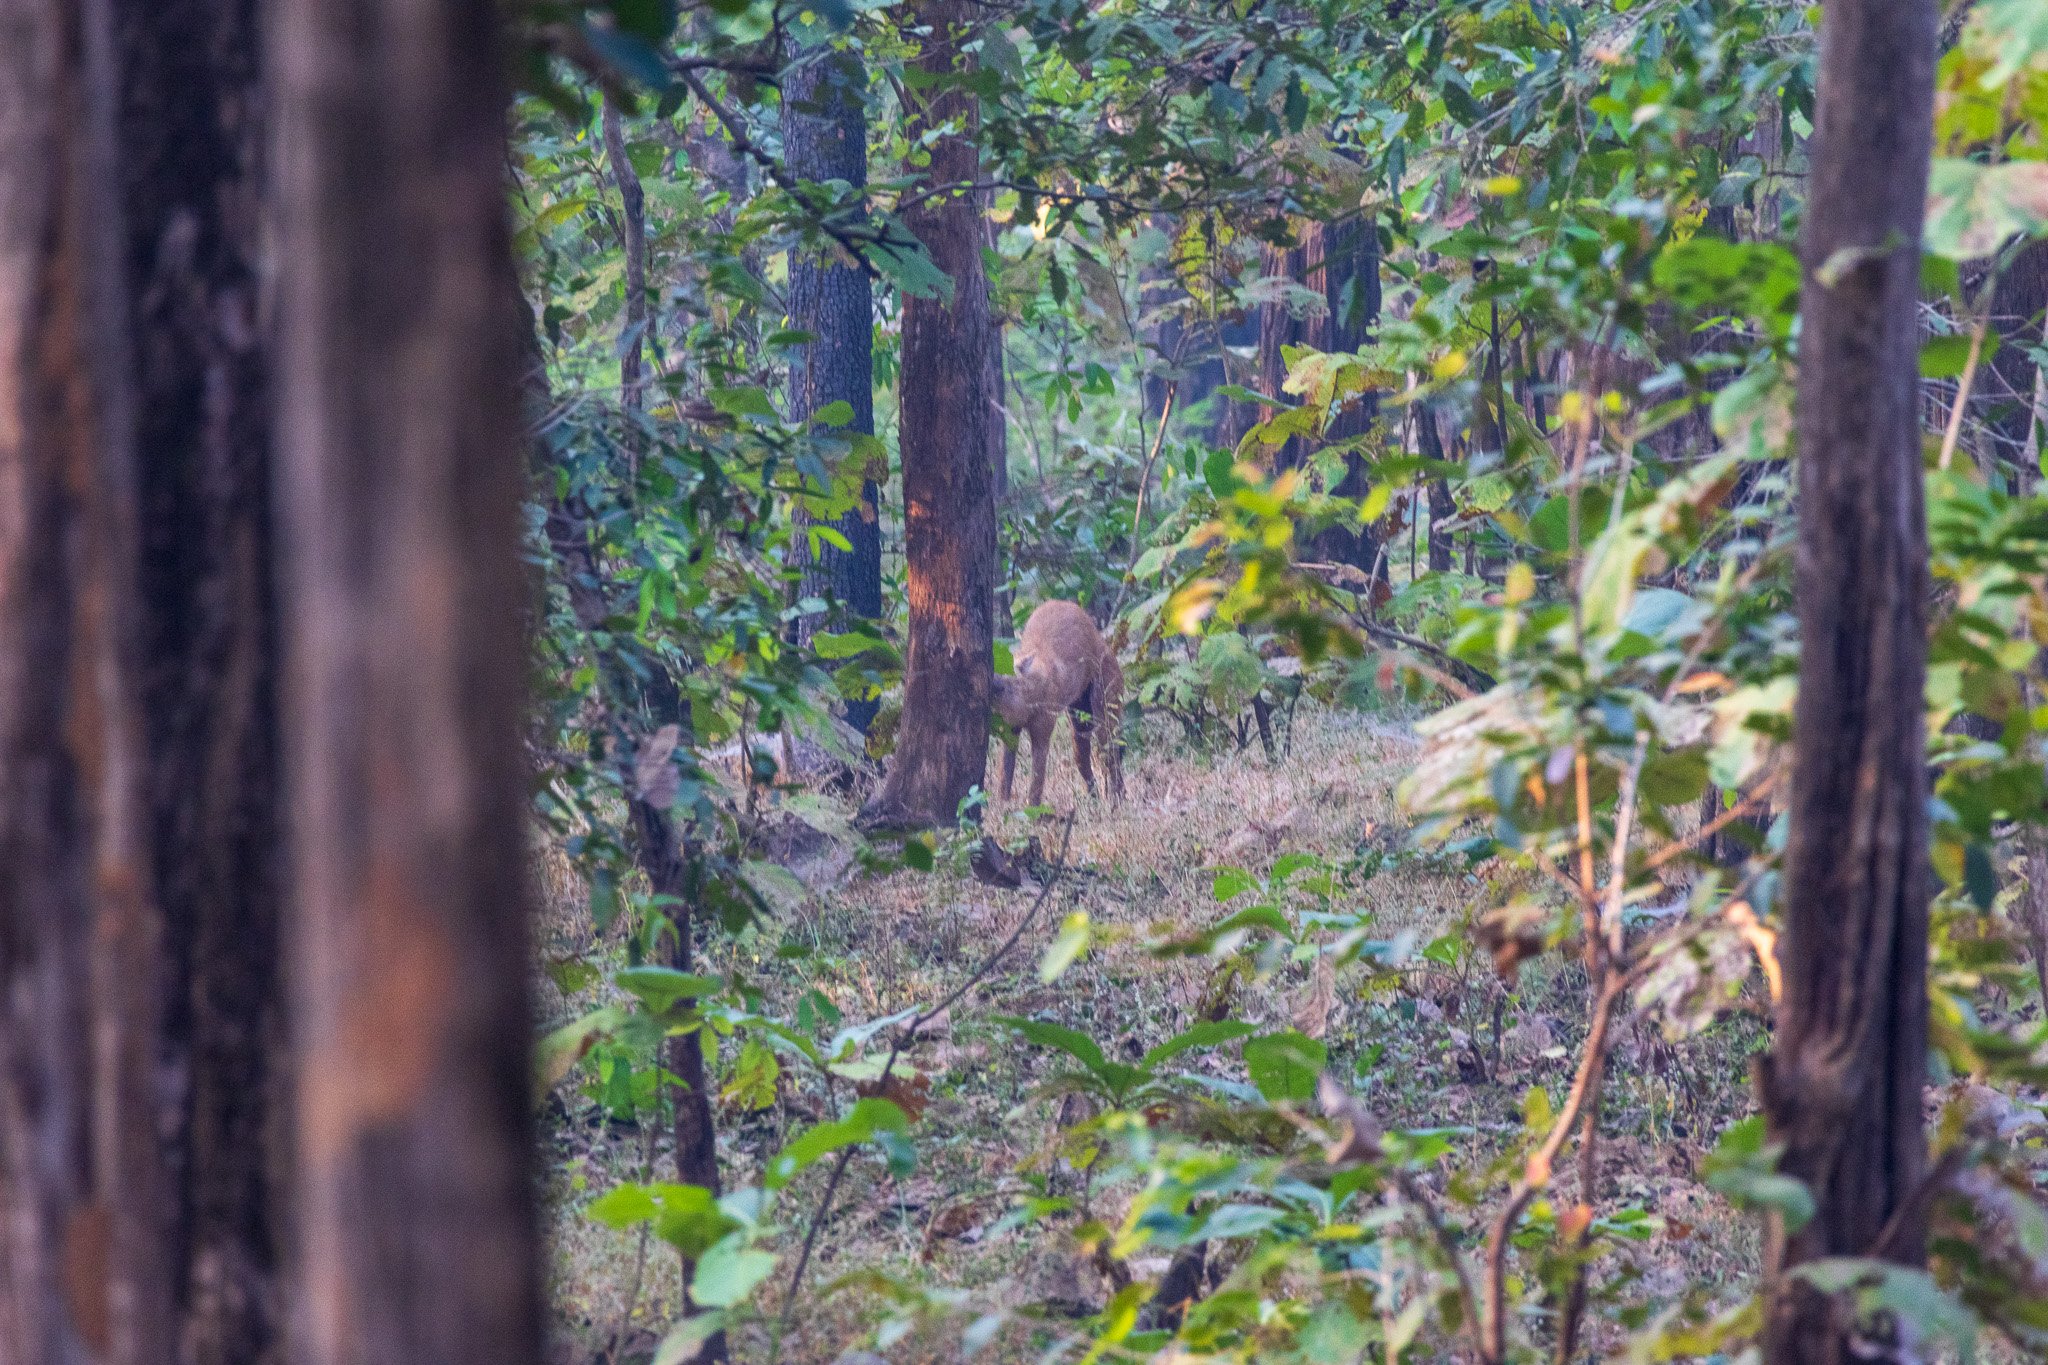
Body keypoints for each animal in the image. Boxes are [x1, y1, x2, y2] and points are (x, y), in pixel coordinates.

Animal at [987, 601, 1130, 810]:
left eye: (1004, 684)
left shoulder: (1043, 730)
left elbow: (1037, 780)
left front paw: (1033, 811)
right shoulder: (1010, 732)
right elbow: (1004, 776)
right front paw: (1001, 807)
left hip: (1104, 713)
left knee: (1110, 755)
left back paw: (1117, 799)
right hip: (1079, 723)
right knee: (1084, 759)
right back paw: (1095, 799)